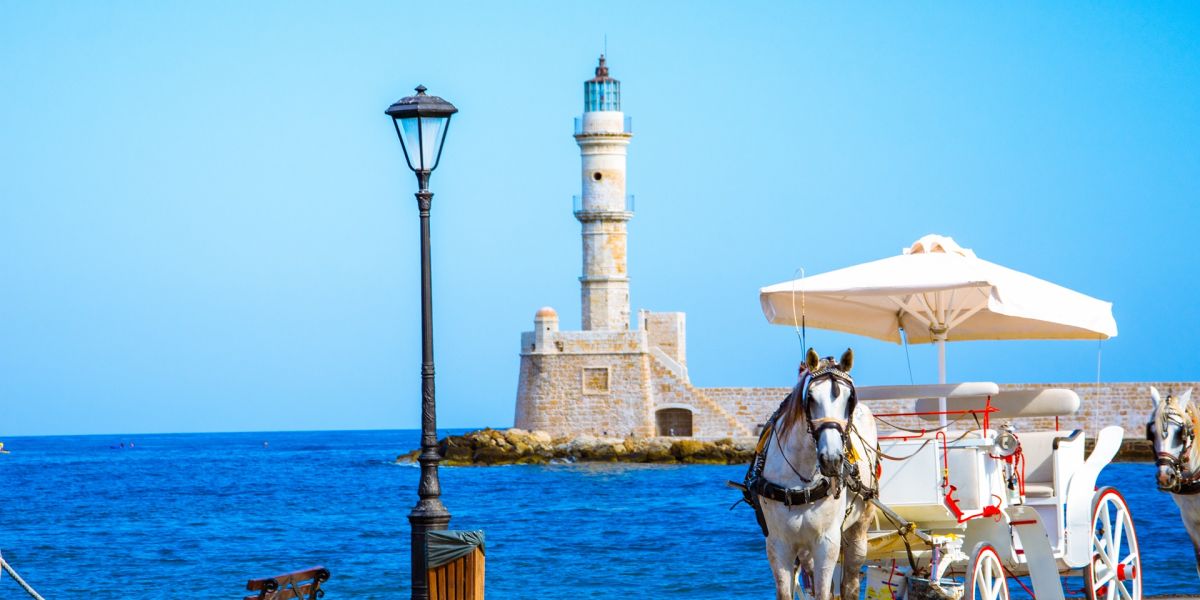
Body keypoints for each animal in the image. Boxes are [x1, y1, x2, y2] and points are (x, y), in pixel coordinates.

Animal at [758, 348, 883, 600]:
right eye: (811, 398)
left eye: (850, 400)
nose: (832, 459)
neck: (801, 480)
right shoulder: (778, 543)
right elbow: (787, 592)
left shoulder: (827, 542)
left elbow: (825, 593)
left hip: (859, 529)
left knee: (850, 584)